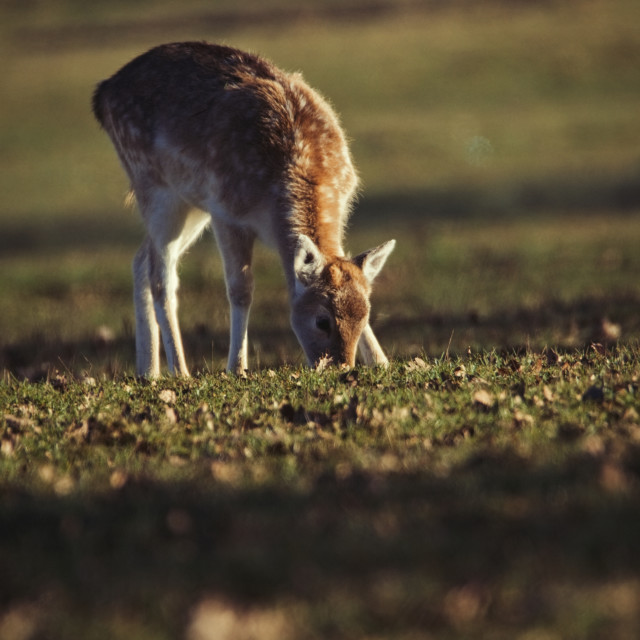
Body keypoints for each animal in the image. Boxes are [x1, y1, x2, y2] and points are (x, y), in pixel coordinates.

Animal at [93, 41, 396, 380]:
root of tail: (102, 94)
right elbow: (241, 289)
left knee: (140, 259)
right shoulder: (227, 211)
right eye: (322, 320)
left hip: (190, 205)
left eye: (365, 315)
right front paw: (237, 367)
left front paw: (382, 361)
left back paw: (149, 371)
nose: (340, 366)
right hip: (154, 186)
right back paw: (180, 370)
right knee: (161, 276)